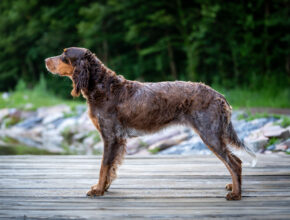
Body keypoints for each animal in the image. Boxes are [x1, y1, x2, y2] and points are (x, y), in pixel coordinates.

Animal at [44, 47, 255, 200]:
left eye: (64, 55)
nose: (45, 60)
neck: (102, 86)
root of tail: (220, 96)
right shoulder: (117, 139)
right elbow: (110, 168)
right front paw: (103, 187)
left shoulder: (111, 136)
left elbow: (104, 166)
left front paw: (98, 190)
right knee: (235, 161)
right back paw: (234, 186)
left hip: (210, 134)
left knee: (234, 163)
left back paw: (236, 194)